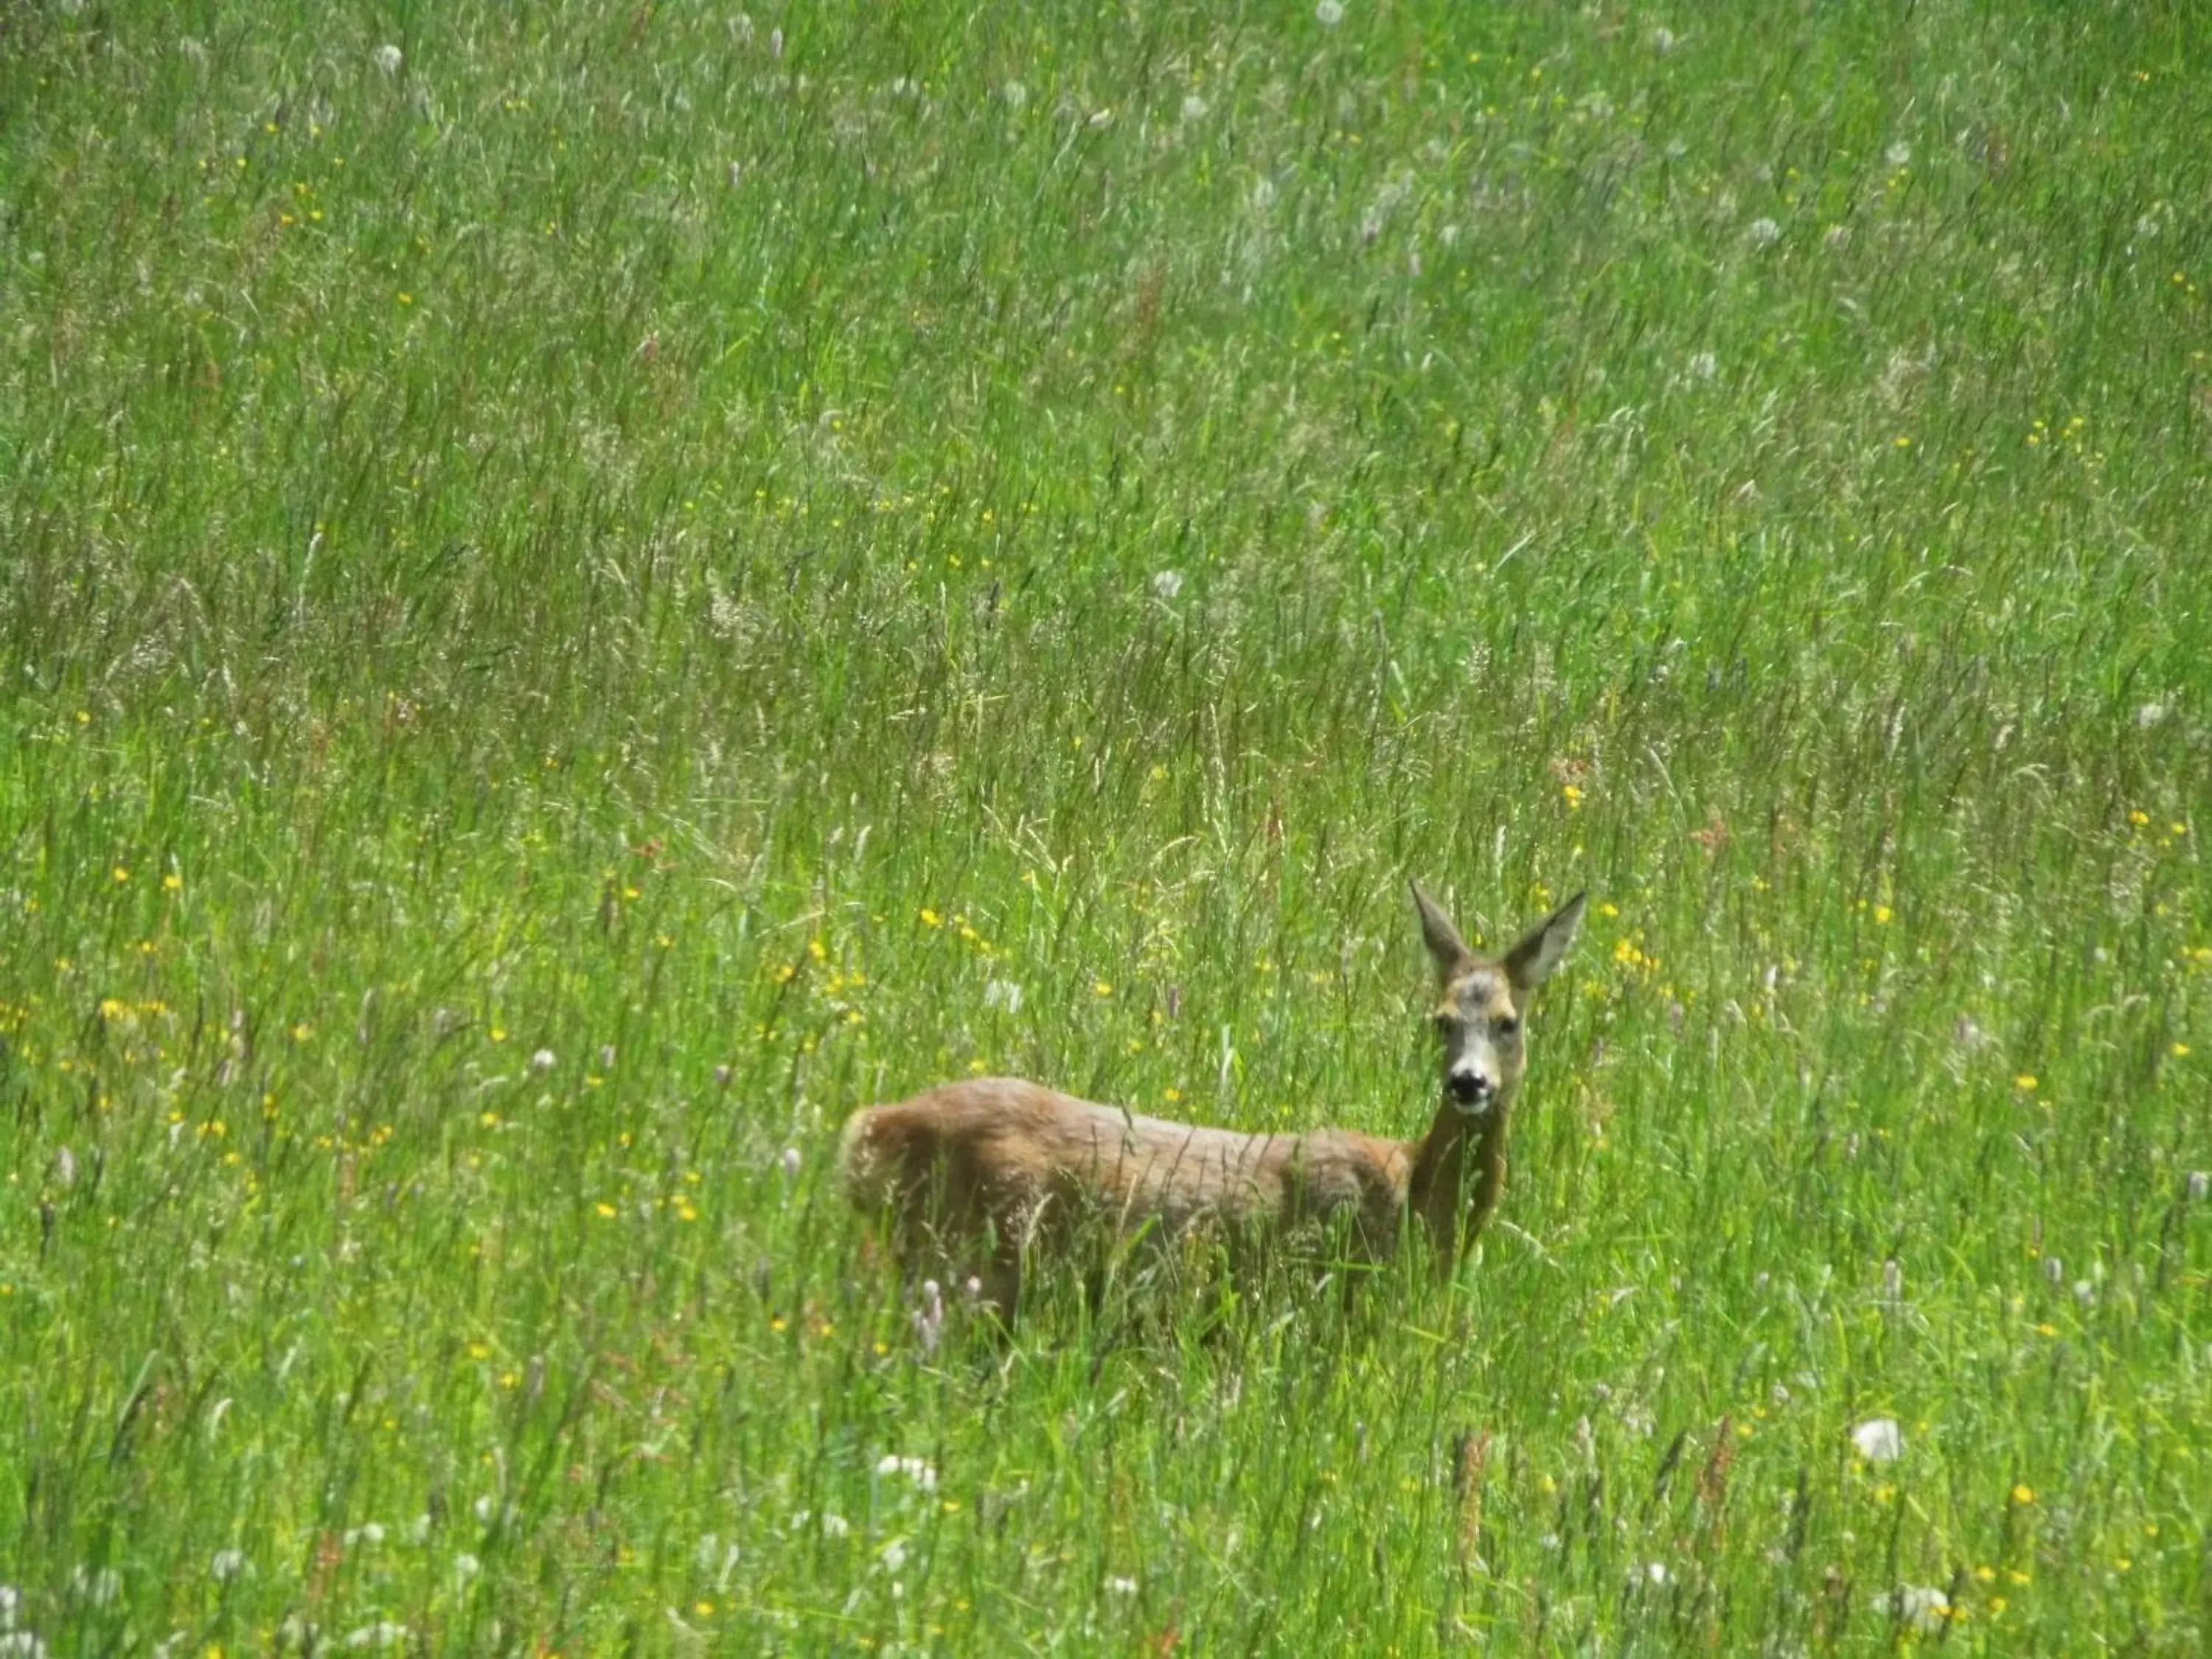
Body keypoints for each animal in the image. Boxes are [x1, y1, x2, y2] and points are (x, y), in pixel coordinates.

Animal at [836, 885, 1584, 1327]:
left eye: (1509, 1022)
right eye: (1440, 1020)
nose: (1468, 1083)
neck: (1416, 1198)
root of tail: (865, 1132)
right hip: (964, 1261)